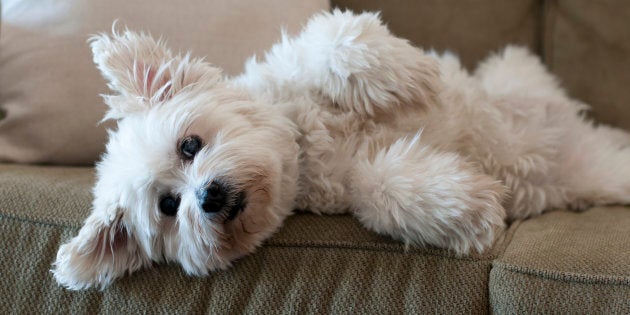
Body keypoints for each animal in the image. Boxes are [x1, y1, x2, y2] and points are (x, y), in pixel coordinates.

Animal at [53, 9, 630, 292]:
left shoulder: (311, 58)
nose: (209, 197)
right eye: (168, 207)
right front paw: (467, 207)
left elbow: (335, 41)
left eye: (190, 144)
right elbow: (382, 186)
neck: (306, 145)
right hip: (597, 169)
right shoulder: (353, 187)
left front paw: (410, 78)